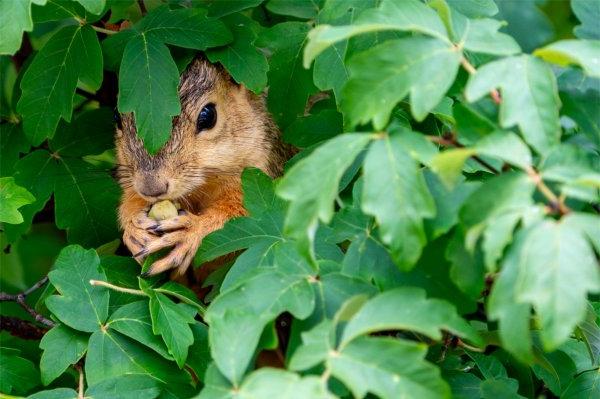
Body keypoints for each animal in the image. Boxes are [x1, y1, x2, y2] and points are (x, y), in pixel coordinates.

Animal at [115, 58, 292, 278]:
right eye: (116, 118)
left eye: (208, 116)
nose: (151, 189)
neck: (200, 186)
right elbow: (130, 199)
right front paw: (133, 226)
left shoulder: (262, 169)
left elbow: (239, 215)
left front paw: (191, 230)